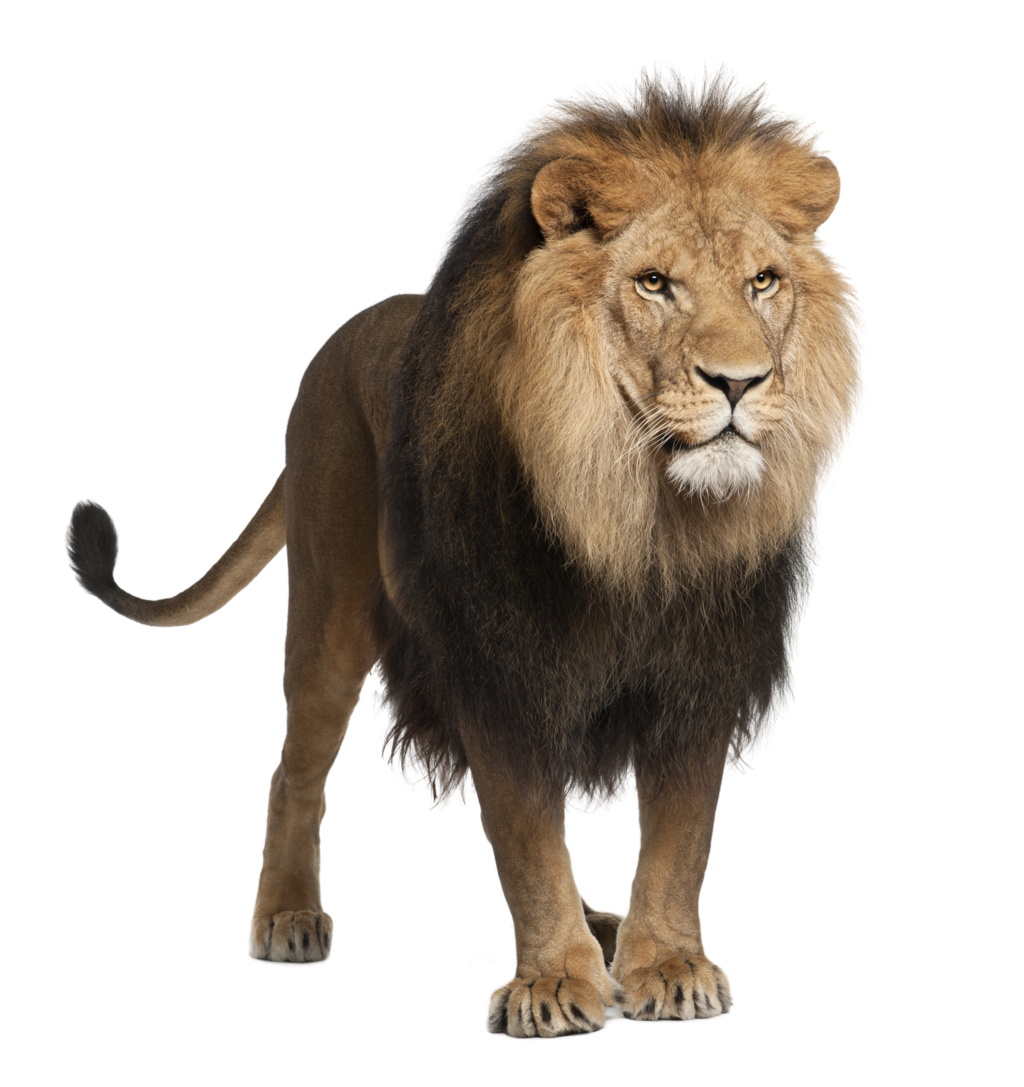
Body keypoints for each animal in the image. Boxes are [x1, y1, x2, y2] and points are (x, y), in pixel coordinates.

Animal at [63, 67, 864, 1037]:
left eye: (763, 281)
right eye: (653, 283)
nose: (741, 382)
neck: (641, 521)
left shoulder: (695, 676)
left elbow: (682, 836)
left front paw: (667, 965)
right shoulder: (504, 665)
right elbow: (524, 833)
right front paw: (553, 983)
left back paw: (606, 922)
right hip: (330, 608)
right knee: (294, 767)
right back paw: (288, 917)